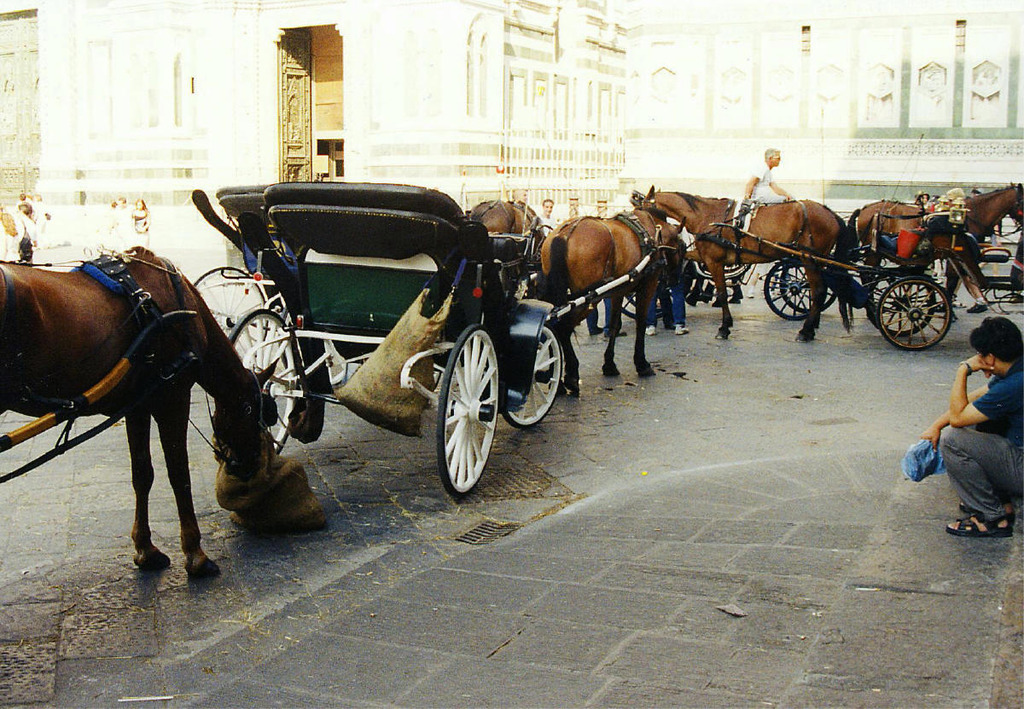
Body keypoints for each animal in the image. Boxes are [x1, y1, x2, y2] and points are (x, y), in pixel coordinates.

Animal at [0, 247, 270, 577]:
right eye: (250, 410)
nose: (249, 466)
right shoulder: (173, 396)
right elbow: (179, 475)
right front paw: (195, 553)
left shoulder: (137, 405)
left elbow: (142, 473)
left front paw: (145, 549)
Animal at [544, 204, 679, 395]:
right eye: (681, 246)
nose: (674, 279)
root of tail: (565, 234)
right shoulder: (648, 287)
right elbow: (640, 323)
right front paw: (642, 364)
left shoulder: (617, 292)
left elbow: (615, 325)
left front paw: (609, 364)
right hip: (588, 300)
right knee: (562, 328)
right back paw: (571, 376)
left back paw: (557, 380)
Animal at [638, 186, 856, 342]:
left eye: (639, 209)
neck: (709, 217)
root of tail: (831, 213)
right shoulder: (702, 256)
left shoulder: (714, 262)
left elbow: (722, 293)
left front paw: (724, 327)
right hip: (815, 261)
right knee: (820, 291)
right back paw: (811, 327)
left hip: (808, 259)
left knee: (818, 291)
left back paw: (805, 330)